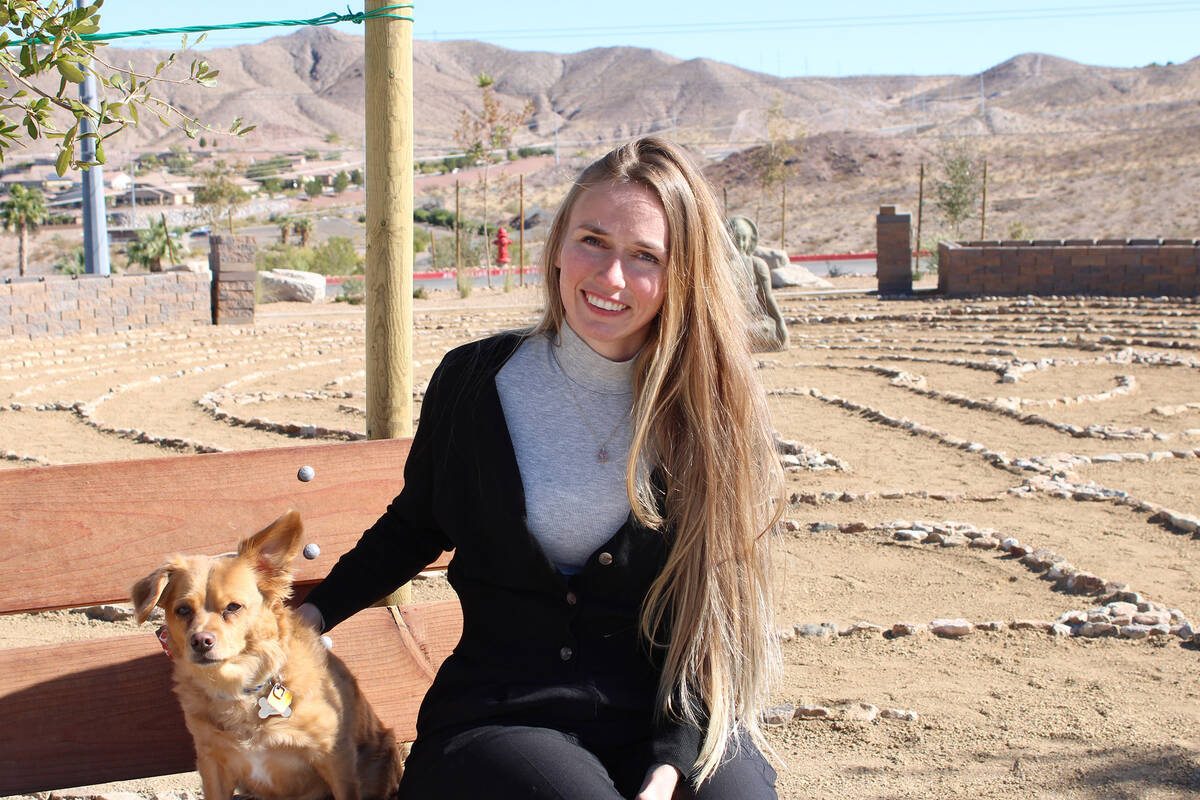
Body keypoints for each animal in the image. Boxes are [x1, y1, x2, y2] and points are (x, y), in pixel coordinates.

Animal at [133, 513, 400, 800]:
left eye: (233, 607)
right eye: (182, 610)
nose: (201, 641)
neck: (239, 687)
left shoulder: (335, 757)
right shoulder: (212, 762)